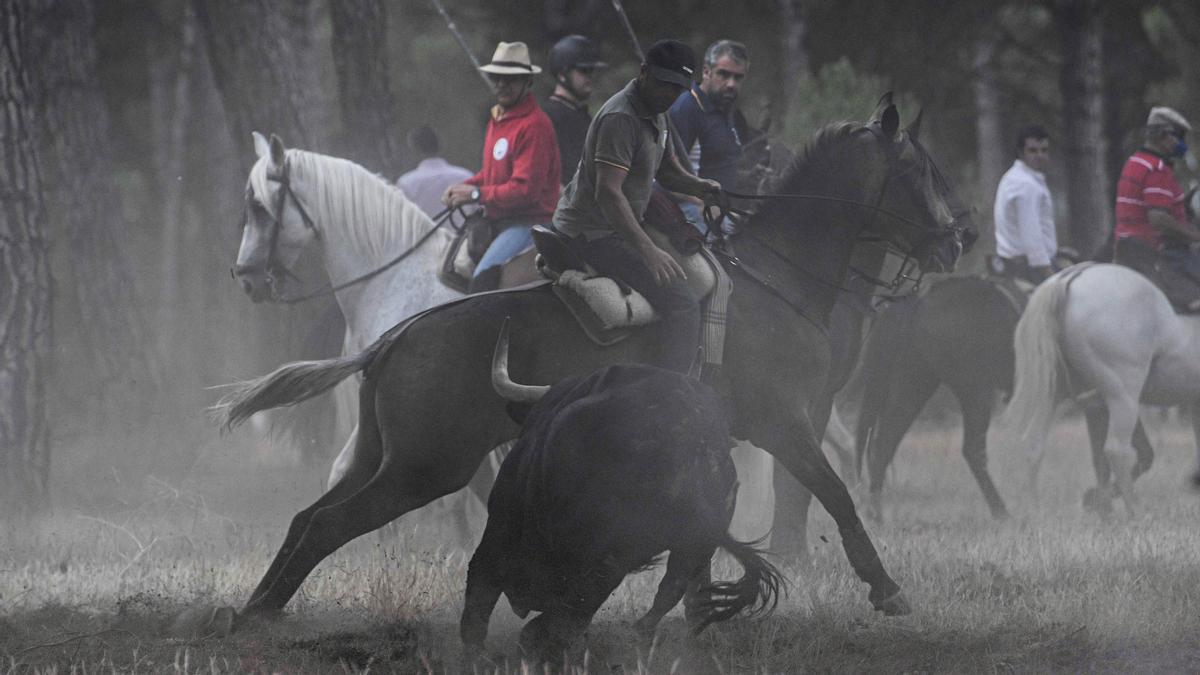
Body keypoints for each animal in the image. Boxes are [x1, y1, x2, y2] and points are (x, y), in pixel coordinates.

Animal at [463, 343, 782, 648]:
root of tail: (690, 436)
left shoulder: (496, 538)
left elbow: (477, 613)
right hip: (693, 545)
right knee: (668, 589)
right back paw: (638, 634)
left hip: (606, 555)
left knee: (570, 613)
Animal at [1003, 260, 1200, 511]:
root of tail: (1069, 279)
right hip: (1123, 396)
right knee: (1117, 451)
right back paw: (1133, 511)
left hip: (1056, 392)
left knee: (1035, 444)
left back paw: (1039, 511)